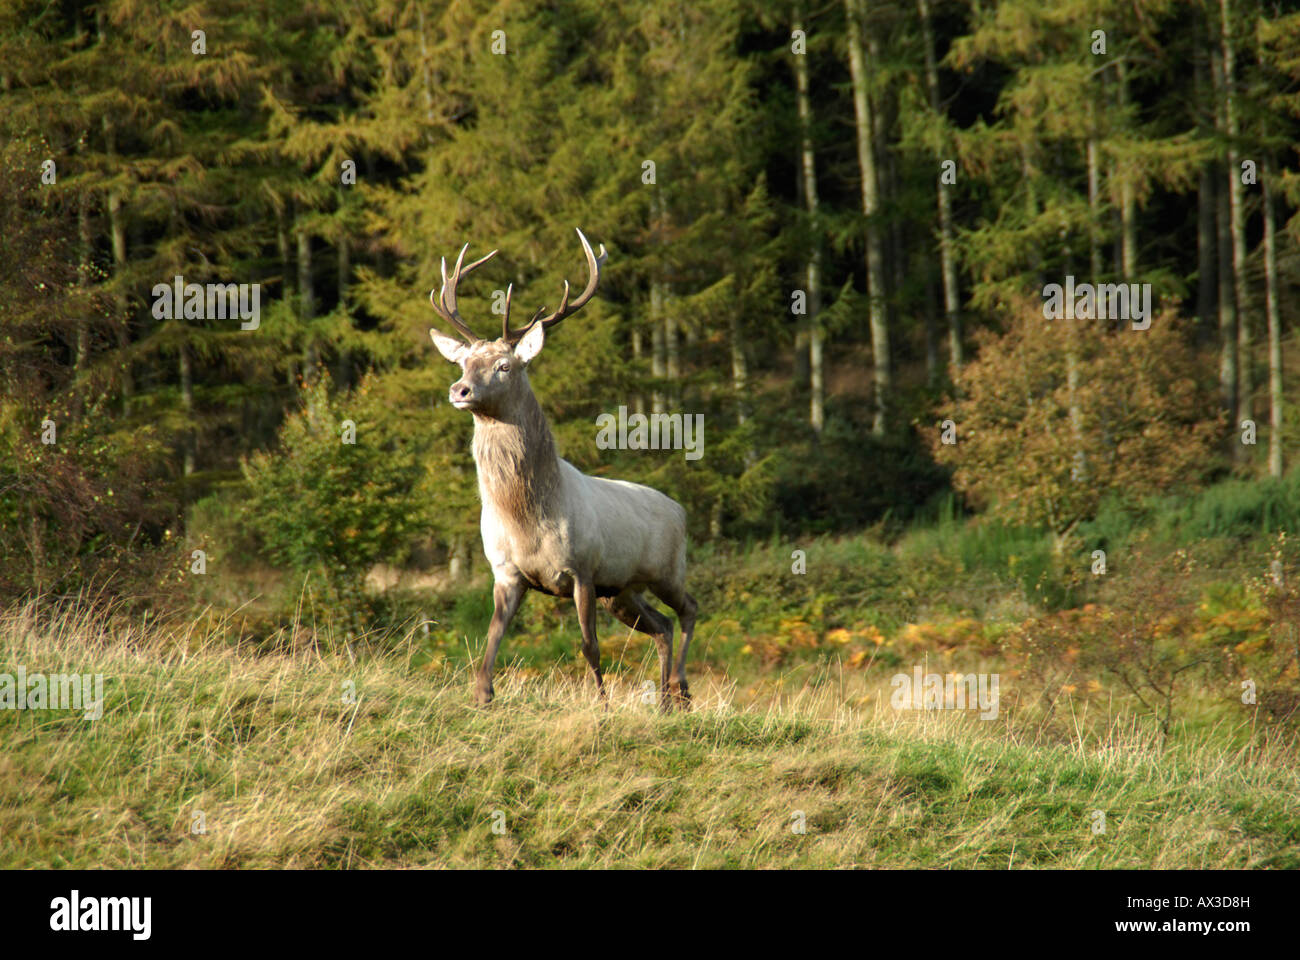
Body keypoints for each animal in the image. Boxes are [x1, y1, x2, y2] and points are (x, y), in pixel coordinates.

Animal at [428, 229, 698, 712]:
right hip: (623, 590)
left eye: (504, 365)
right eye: (463, 363)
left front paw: (602, 704)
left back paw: (681, 688)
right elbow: (492, 636)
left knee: (689, 609)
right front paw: (482, 695)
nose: (459, 389)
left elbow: (589, 645)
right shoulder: (506, 572)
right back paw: (666, 700)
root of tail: (680, 509)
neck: (527, 520)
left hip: (666, 569)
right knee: (662, 625)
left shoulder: (583, 569)